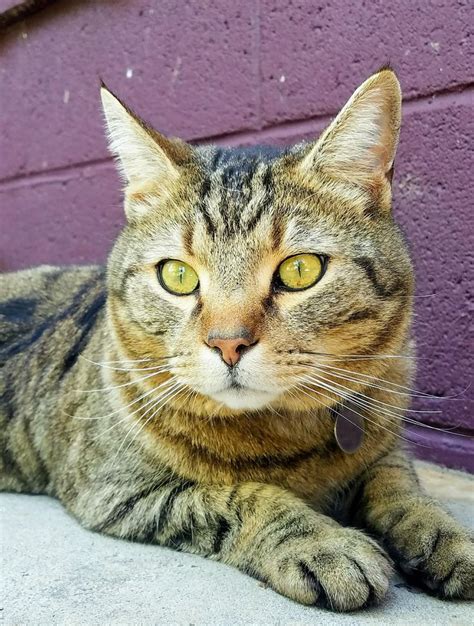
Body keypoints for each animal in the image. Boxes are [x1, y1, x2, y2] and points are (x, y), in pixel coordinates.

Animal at [0, 69, 472, 608]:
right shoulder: (115, 488)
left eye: (300, 270)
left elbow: (402, 489)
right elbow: (241, 495)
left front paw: (442, 533)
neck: (286, 438)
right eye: (178, 276)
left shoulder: (386, 446)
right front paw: (320, 540)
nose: (228, 344)